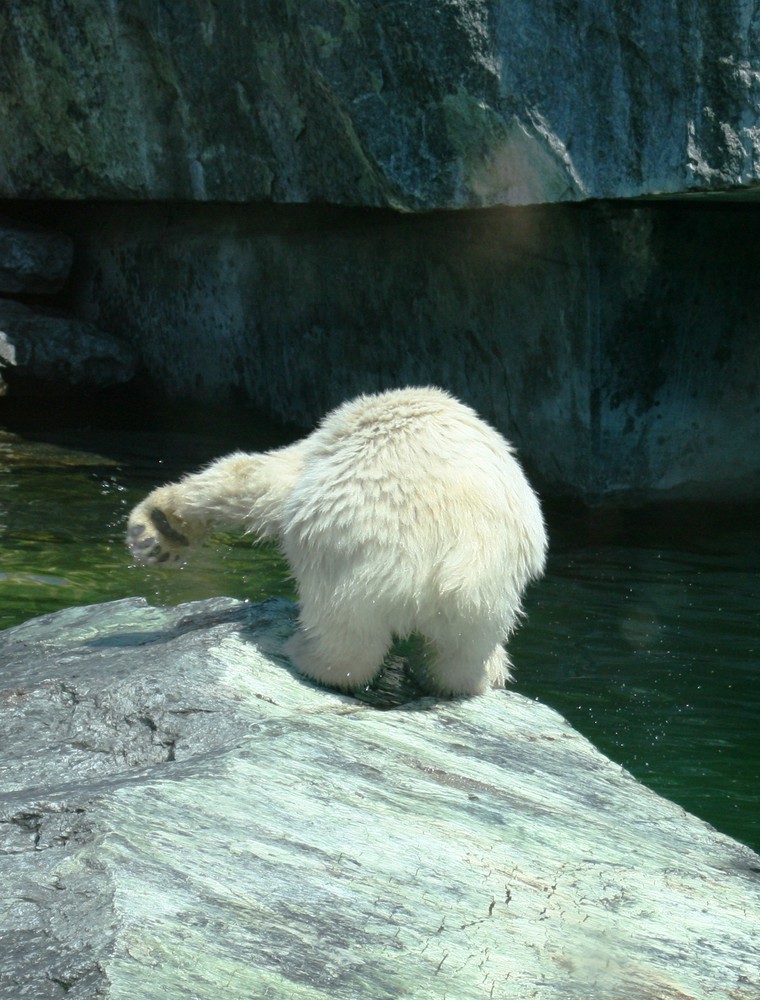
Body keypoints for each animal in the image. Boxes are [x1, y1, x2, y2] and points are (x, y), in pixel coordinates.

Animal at [127, 384, 548, 696]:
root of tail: (455, 567)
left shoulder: (319, 449)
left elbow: (257, 479)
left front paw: (157, 529)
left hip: (354, 567)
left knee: (347, 636)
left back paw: (304, 653)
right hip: (489, 599)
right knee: (462, 654)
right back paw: (469, 674)